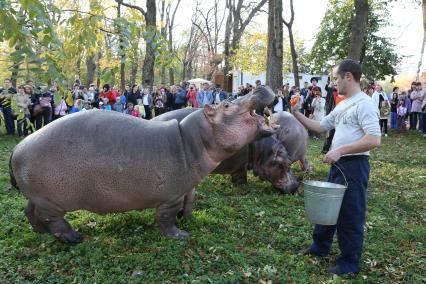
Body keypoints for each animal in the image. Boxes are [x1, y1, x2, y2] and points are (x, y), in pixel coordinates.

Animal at [10, 86, 278, 242]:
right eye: (226, 103)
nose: (260, 85)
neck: (192, 139)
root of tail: (17, 148)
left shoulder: (185, 188)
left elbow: (188, 202)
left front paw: (186, 219)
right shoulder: (171, 196)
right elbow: (166, 218)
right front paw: (180, 235)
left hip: (39, 196)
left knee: (30, 211)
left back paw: (41, 232)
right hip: (51, 200)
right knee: (52, 219)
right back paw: (72, 237)